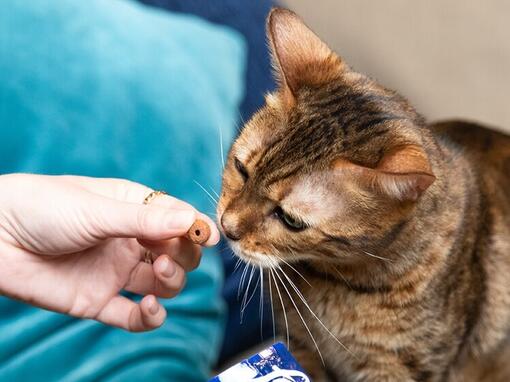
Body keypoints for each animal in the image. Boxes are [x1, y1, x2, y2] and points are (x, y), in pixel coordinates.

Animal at [217, 8, 510, 382]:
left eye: (291, 220)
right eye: (242, 169)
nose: (227, 227)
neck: (334, 283)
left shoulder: (400, 368)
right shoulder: (299, 343)